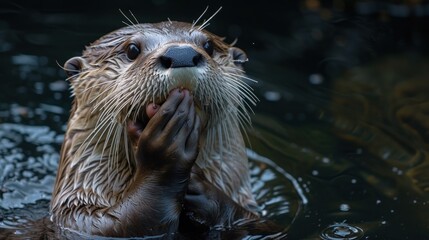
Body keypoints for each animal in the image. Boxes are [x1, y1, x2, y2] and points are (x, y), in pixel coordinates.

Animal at [47, 15, 280, 238]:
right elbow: (129, 220)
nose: (181, 54)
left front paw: (202, 191)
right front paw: (165, 156)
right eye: (132, 50)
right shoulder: (78, 220)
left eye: (208, 46)